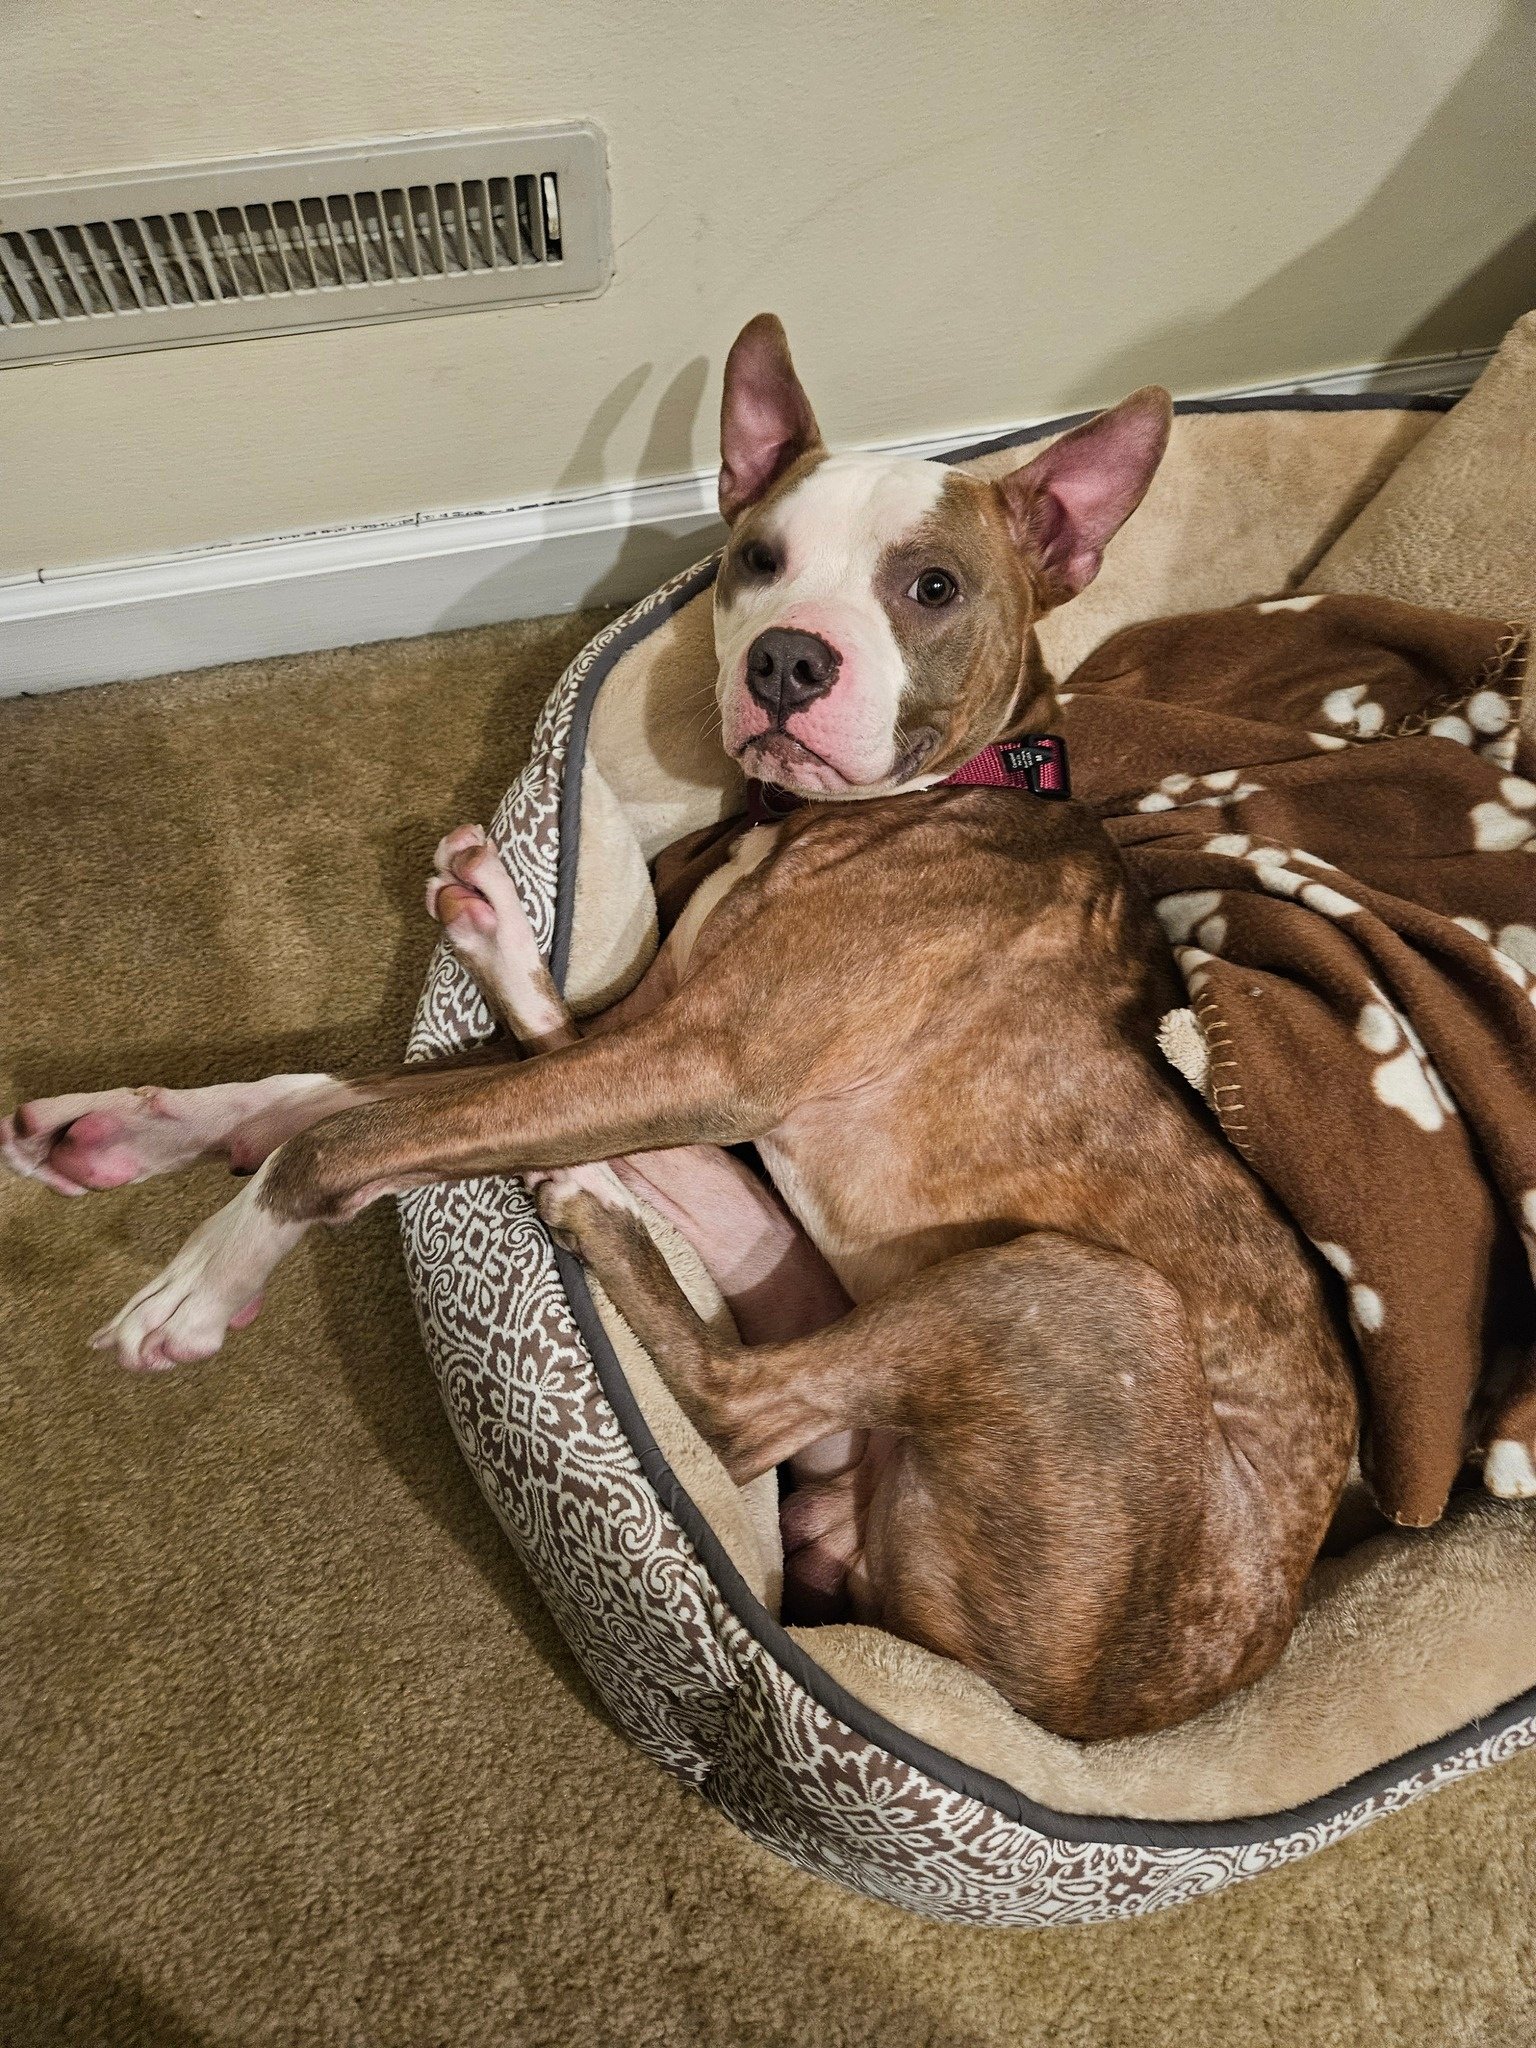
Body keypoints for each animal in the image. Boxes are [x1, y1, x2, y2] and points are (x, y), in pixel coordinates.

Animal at [0, 323, 1359, 1744]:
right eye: (757, 558)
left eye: (931, 585)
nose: (788, 661)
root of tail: (1113, 1702)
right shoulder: (663, 1040)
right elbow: (364, 1087)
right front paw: (126, 1126)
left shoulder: (710, 1061)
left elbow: (355, 1131)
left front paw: (200, 1283)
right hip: (803, 1236)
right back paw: (505, 972)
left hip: (1071, 1293)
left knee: (741, 1404)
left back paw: (590, 1207)